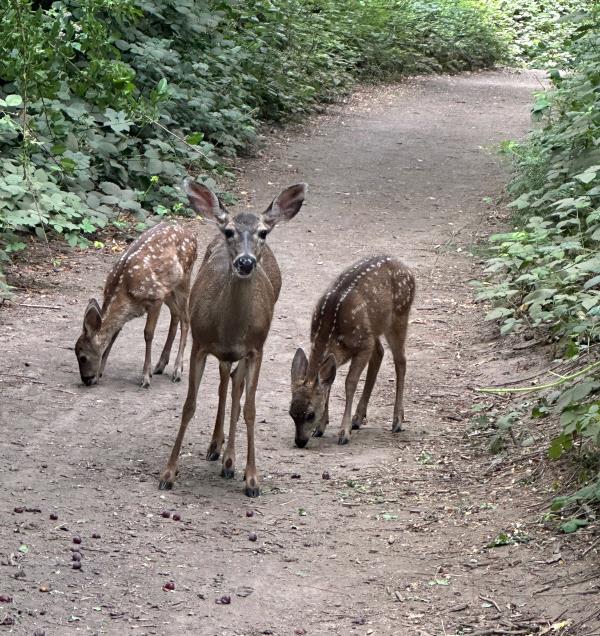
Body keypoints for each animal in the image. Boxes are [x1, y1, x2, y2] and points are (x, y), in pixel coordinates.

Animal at [74, 224, 197, 392]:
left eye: (83, 358)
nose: (86, 380)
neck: (125, 295)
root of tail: (192, 235)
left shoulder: (155, 297)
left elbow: (148, 334)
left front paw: (145, 377)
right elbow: (114, 335)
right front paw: (100, 373)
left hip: (184, 278)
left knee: (185, 319)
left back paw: (177, 371)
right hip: (169, 288)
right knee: (176, 314)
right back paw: (161, 365)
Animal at [157, 178, 308, 496]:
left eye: (263, 232)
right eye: (229, 231)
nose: (246, 262)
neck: (230, 329)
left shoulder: (256, 349)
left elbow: (250, 409)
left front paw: (252, 479)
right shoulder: (200, 344)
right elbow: (189, 405)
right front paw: (168, 473)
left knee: (235, 387)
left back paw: (229, 459)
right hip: (222, 352)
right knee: (225, 382)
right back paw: (216, 447)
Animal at [290, 253, 412, 448]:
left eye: (310, 414)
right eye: (291, 413)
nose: (300, 441)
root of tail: (408, 270)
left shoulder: (363, 344)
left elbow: (350, 382)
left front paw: (343, 433)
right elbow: (328, 383)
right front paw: (321, 428)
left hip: (399, 316)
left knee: (400, 360)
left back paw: (397, 421)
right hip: (374, 327)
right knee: (380, 352)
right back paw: (358, 419)